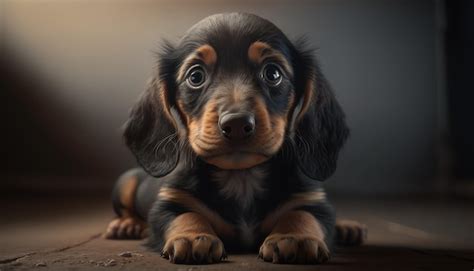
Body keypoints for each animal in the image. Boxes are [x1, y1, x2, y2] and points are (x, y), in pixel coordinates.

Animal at [104, 13, 366, 266]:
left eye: (273, 73)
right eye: (195, 76)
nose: (237, 124)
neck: (241, 176)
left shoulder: (311, 199)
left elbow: (303, 214)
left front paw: (294, 237)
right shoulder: (169, 203)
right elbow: (185, 215)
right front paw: (193, 237)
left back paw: (347, 228)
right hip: (126, 182)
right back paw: (127, 225)